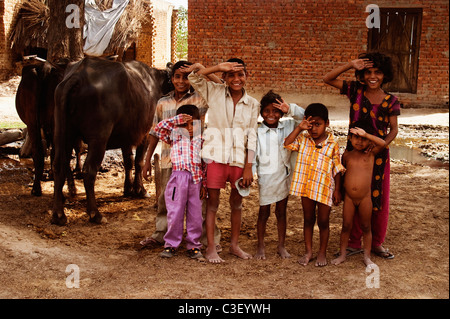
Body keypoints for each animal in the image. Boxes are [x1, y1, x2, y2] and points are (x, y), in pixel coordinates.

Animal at [52, 58, 172, 228]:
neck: (156, 83)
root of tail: (77, 76)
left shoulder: (126, 137)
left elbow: (128, 161)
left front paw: (128, 189)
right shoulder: (145, 134)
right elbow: (139, 162)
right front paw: (140, 190)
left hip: (63, 135)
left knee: (58, 166)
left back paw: (59, 215)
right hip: (98, 139)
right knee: (89, 171)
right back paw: (95, 214)